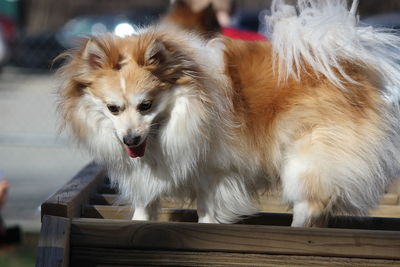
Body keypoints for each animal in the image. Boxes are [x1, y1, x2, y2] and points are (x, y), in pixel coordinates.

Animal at [57, 0, 400, 227]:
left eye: (146, 105)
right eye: (112, 108)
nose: (130, 140)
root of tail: (345, 61)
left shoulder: (214, 173)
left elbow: (207, 213)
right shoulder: (146, 179)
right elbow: (144, 209)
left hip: (307, 159)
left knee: (309, 204)